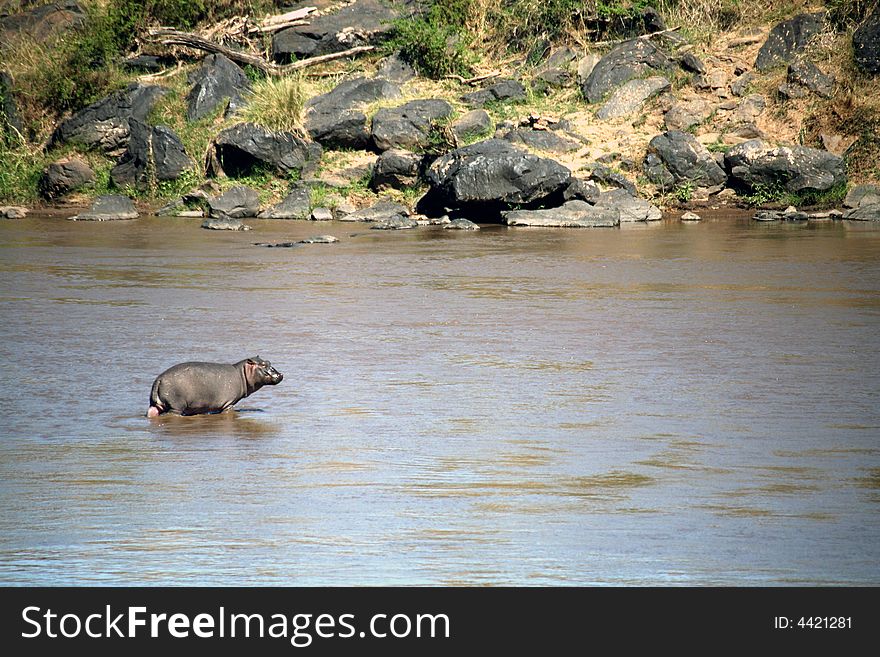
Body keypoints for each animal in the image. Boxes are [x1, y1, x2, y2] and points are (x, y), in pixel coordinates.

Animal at [145, 358, 282, 416]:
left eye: (269, 362)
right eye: (263, 364)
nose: (280, 374)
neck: (241, 373)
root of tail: (159, 379)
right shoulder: (229, 403)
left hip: (156, 405)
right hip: (176, 406)